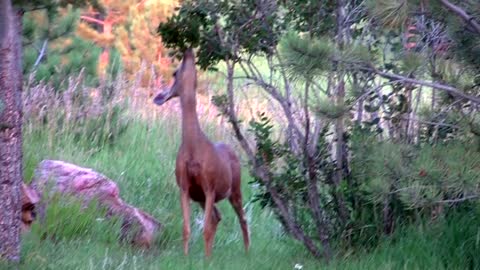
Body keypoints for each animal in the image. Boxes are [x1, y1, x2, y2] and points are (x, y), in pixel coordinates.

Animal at [153, 48, 251, 258]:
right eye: (176, 72)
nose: (189, 50)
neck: (193, 147)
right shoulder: (185, 187)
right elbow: (186, 228)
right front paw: (186, 257)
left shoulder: (210, 186)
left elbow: (204, 228)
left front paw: (204, 259)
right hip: (201, 198)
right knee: (217, 216)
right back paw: (211, 254)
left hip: (235, 188)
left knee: (241, 218)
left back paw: (246, 252)